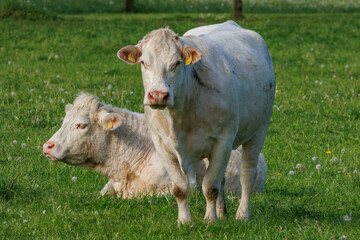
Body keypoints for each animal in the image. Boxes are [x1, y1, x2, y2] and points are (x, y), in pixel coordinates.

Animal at [118, 21, 276, 223]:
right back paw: (222, 212)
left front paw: (210, 220)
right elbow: (180, 188)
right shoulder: (161, 145)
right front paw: (185, 221)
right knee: (222, 178)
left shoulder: (224, 140)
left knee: (247, 173)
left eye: (177, 63)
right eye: (144, 62)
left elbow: (210, 186)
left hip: (259, 130)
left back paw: (242, 214)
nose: (158, 95)